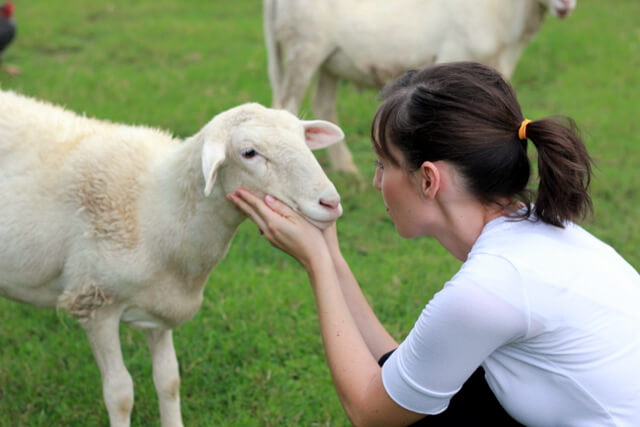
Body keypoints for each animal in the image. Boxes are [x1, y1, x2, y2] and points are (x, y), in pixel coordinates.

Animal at [0, 88, 344, 426]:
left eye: (302, 138)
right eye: (249, 152)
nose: (330, 202)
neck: (158, 209)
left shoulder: (160, 306)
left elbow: (168, 380)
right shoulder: (94, 302)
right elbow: (120, 394)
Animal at [262, 0, 576, 176]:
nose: (565, 5)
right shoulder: (454, 55)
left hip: (329, 60)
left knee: (323, 104)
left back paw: (346, 168)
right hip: (305, 49)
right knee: (287, 105)